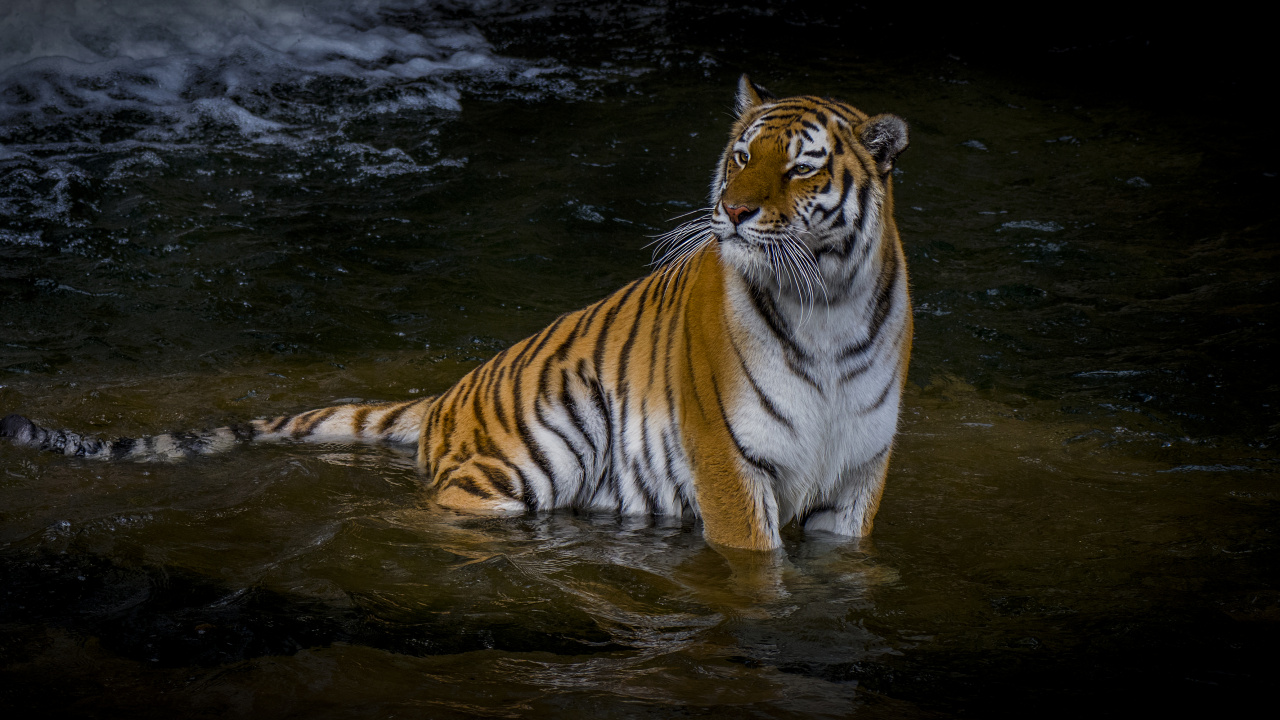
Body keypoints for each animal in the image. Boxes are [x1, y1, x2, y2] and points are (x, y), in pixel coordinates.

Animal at [1, 75, 912, 552]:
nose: (732, 211)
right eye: (740, 154)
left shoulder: (858, 476)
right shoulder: (728, 463)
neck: (825, 303)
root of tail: (448, 394)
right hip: (533, 460)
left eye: (799, 168)